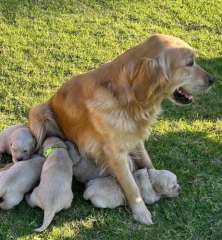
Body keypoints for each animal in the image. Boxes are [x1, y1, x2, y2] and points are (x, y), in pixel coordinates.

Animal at [27, 34, 213, 225]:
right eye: (190, 63)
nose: (212, 80)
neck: (128, 100)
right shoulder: (115, 154)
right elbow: (131, 187)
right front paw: (141, 212)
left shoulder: (136, 139)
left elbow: (147, 162)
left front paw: (154, 178)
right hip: (38, 111)